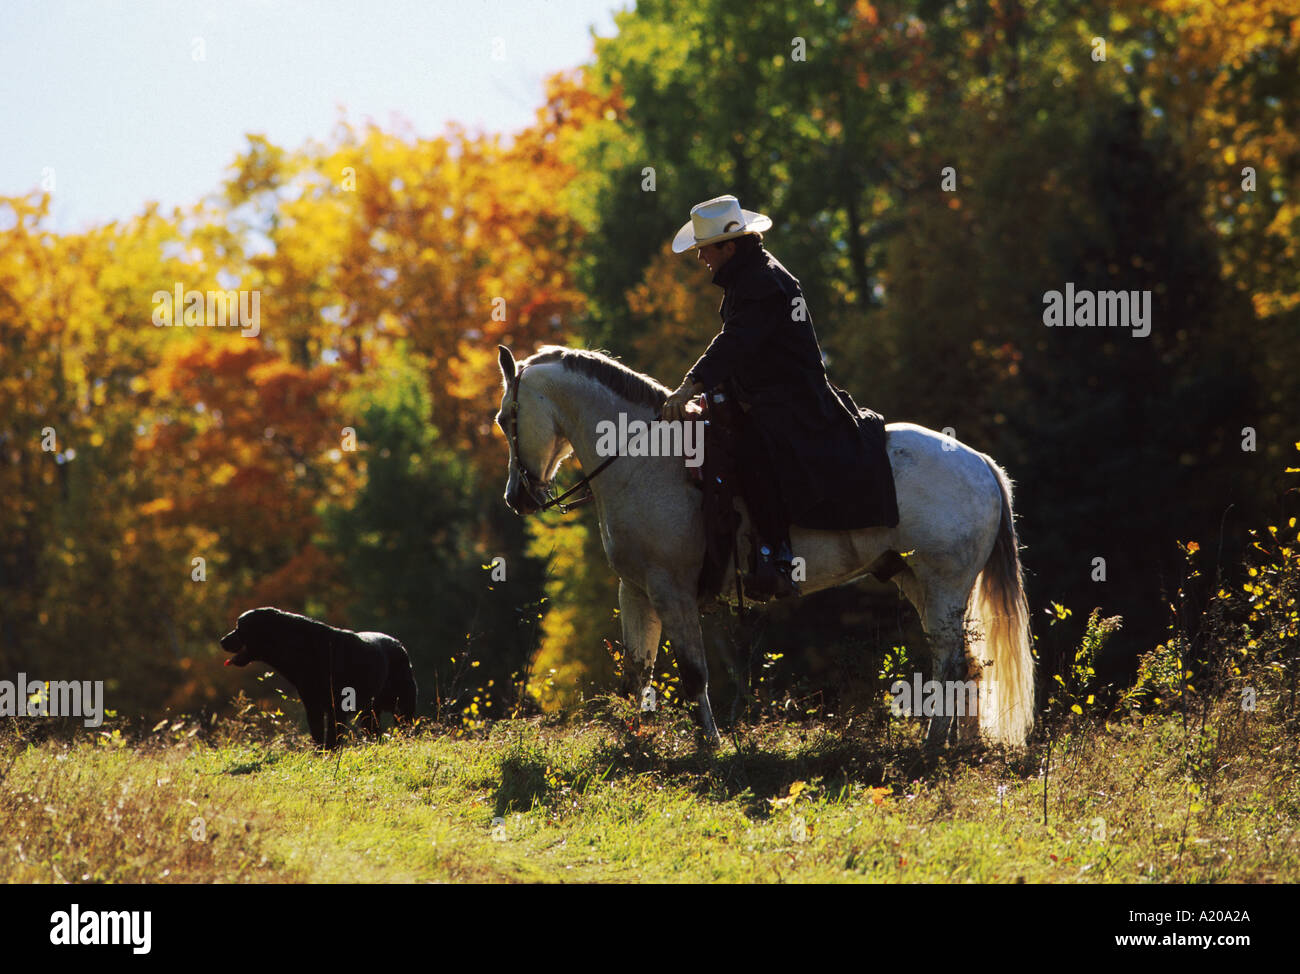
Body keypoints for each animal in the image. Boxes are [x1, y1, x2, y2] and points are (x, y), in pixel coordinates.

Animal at [219, 603, 416, 749]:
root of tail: (400, 645)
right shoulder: (312, 705)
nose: (222, 641)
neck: (300, 646)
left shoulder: (336, 707)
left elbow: (332, 738)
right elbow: (318, 735)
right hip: (370, 712)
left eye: (239, 627)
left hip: (403, 706)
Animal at [491, 345, 1029, 749]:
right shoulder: (637, 591)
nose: (517, 498)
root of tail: (982, 463)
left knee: (950, 660)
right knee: (963, 661)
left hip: (943, 584)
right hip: (918, 581)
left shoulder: (671, 591)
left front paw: (709, 746)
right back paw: (960, 744)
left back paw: (934, 744)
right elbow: (637, 674)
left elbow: (693, 673)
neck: (645, 459)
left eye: (504, 417)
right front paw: (637, 743)